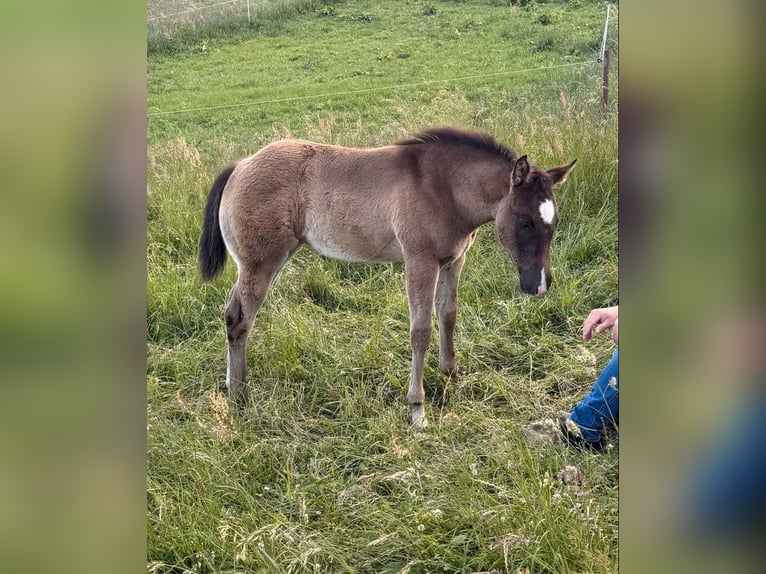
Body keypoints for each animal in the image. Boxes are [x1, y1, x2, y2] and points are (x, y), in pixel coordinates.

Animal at [199, 127, 575, 428]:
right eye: (525, 222)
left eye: (554, 223)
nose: (539, 285)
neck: (442, 188)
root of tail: (240, 165)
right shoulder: (420, 262)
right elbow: (420, 331)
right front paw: (417, 409)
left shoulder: (454, 260)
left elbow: (448, 315)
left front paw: (451, 375)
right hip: (260, 263)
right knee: (238, 318)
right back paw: (240, 399)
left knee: (232, 311)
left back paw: (234, 387)